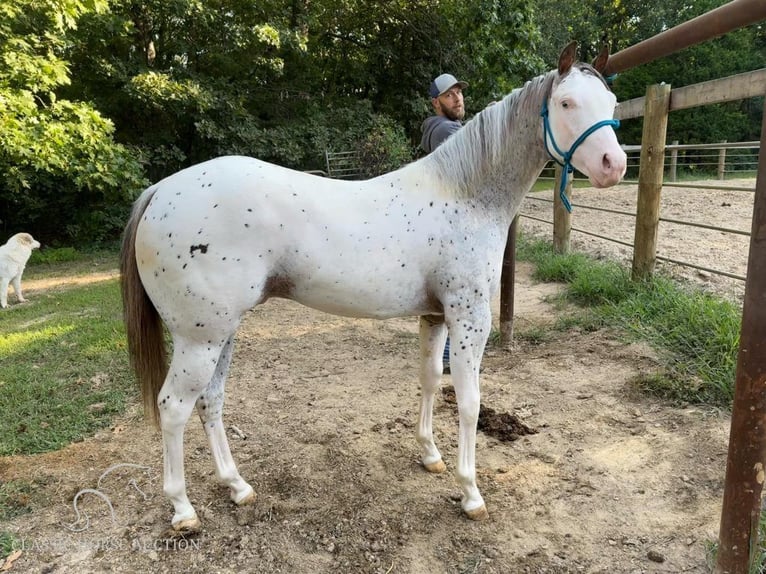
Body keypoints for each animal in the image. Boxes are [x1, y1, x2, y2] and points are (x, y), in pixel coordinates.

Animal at [118, 42, 624, 532]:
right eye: (566, 102)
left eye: (611, 102)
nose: (613, 165)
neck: (465, 195)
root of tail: (160, 191)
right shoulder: (469, 320)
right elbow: (469, 401)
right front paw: (470, 493)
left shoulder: (435, 316)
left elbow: (430, 379)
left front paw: (430, 455)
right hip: (198, 339)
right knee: (174, 407)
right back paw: (183, 510)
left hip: (221, 334)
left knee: (211, 400)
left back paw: (237, 486)